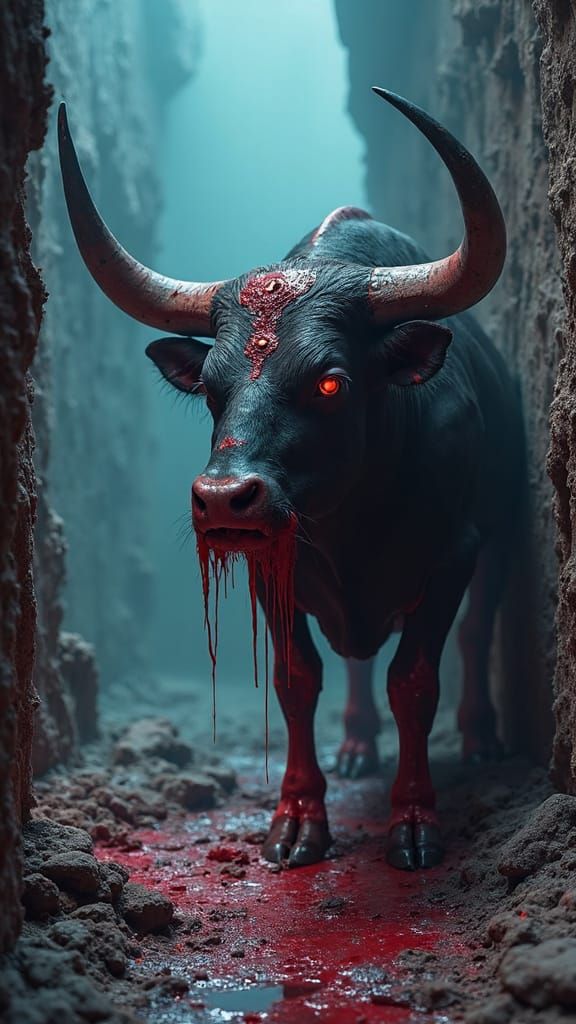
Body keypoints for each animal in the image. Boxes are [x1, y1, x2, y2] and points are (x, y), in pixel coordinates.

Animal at [58, 88, 523, 872]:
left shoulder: (453, 553)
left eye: (331, 381)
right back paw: (359, 745)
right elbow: (297, 678)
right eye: (211, 388)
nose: (223, 500)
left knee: (478, 627)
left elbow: (416, 678)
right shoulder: (272, 564)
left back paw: (485, 738)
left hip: (501, 537)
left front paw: (414, 820)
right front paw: (299, 818)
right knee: (359, 665)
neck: (353, 519)